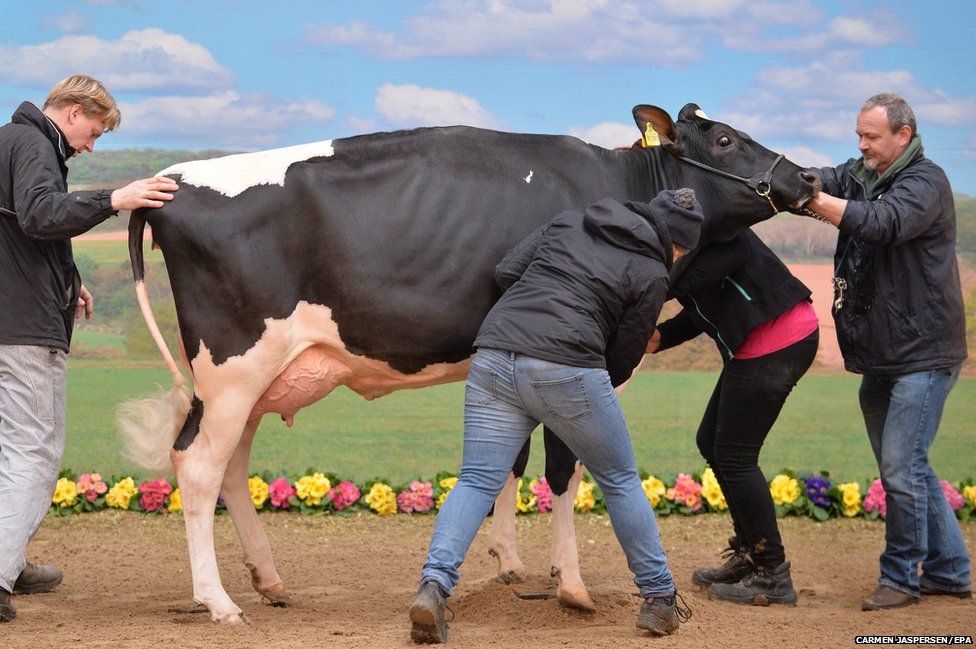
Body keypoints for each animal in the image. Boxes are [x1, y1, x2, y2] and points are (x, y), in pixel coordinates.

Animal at [118, 102, 820, 624]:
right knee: (199, 468)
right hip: (234, 368)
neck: (619, 189)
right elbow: (564, 472)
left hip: (253, 380)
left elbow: (510, 460)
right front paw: (571, 585)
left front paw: (512, 566)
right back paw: (219, 602)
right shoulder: (587, 362)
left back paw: (269, 580)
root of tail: (175, 183)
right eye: (725, 139)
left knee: (230, 467)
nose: (809, 178)